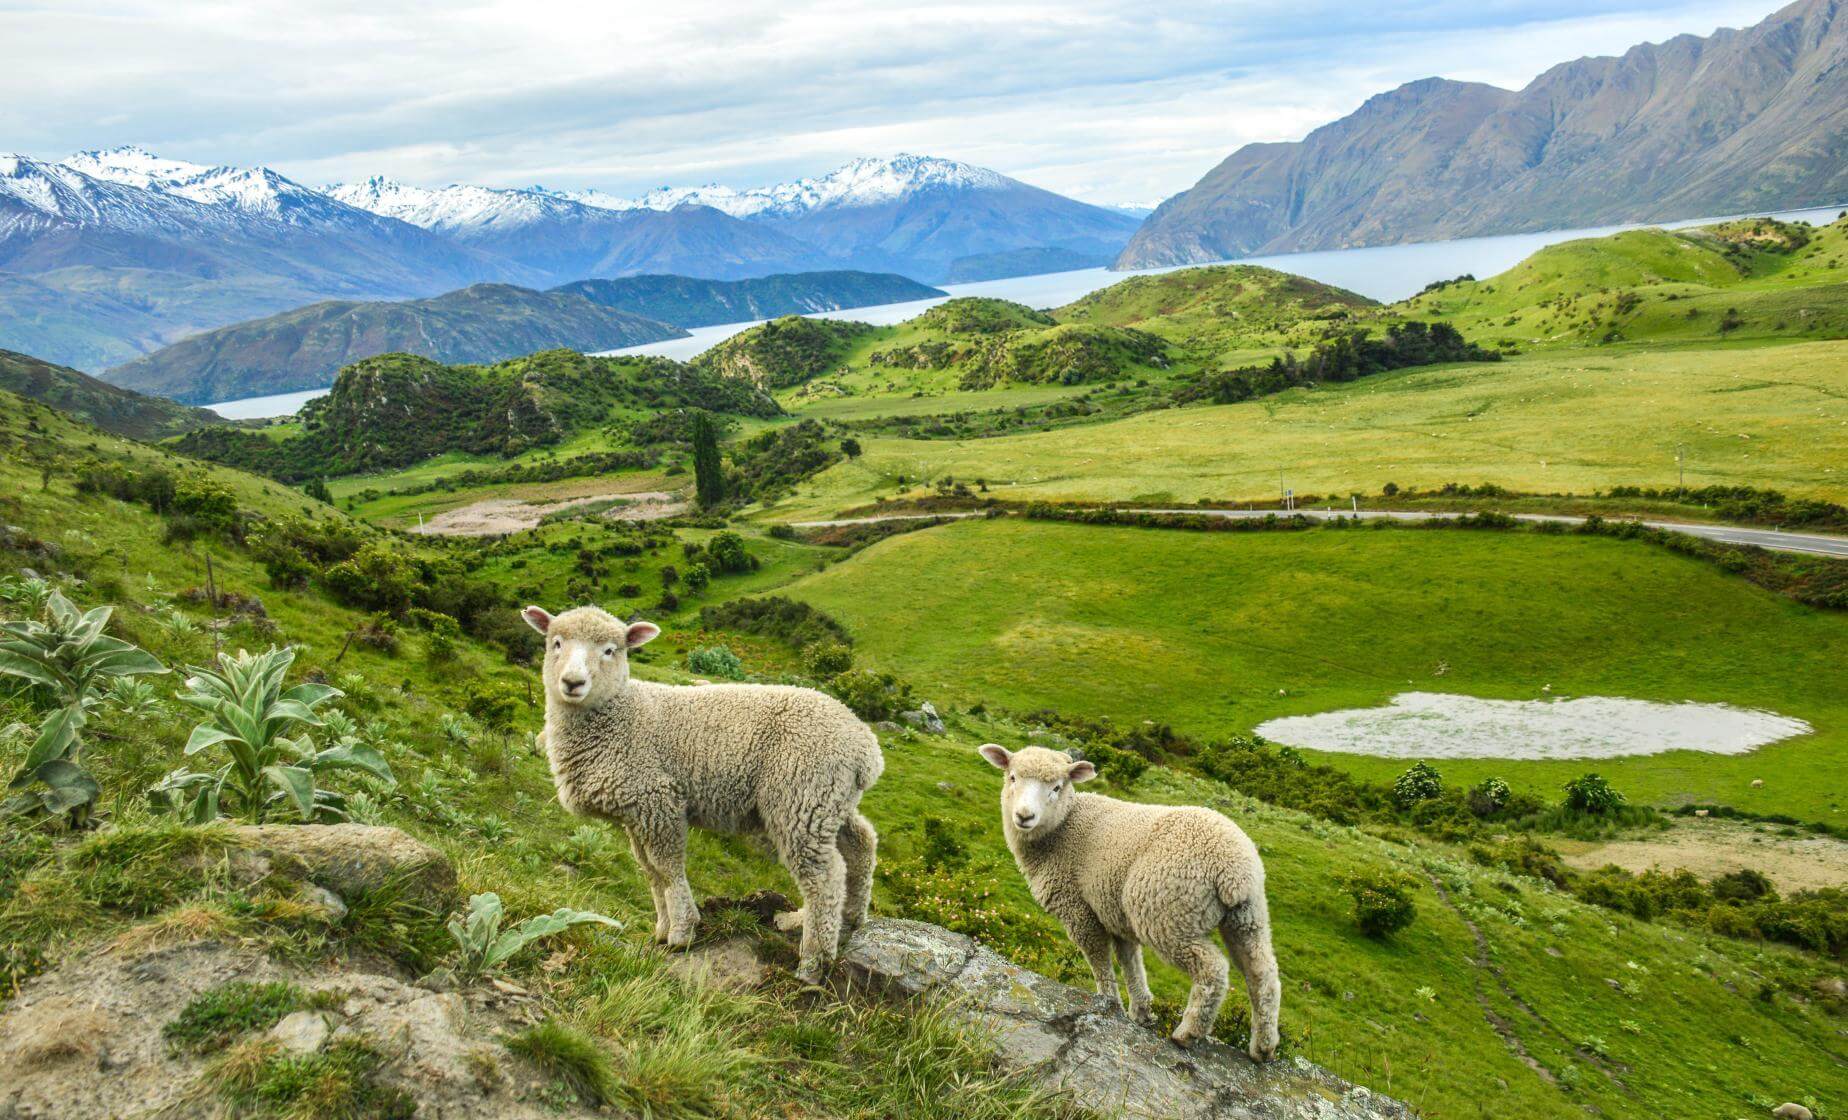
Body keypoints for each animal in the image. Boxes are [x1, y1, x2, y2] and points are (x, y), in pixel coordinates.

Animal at [523, 605, 883, 983]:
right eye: (556, 643)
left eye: (611, 650)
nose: (572, 682)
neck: (621, 713)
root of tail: (865, 747)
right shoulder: (635, 813)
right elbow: (649, 871)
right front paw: (661, 929)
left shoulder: (658, 800)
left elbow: (666, 867)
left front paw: (682, 930)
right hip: (828, 801)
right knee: (861, 844)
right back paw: (846, 920)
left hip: (801, 796)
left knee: (824, 877)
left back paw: (813, 961)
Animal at [977, 744, 1281, 1059]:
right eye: (1012, 777)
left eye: (1057, 787)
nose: (1024, 816)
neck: (1062, 829)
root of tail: (1232, 869)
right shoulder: (1114, 911)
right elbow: (1130, 960)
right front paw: (1141, 1011)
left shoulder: (1078, 909)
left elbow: (1099, 960)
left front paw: (1110, 1004)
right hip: (1247, 915)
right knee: (1262, 973)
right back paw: (1263, 1047)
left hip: (1168, 913)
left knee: (1213, 969)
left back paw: (1187, 1033)